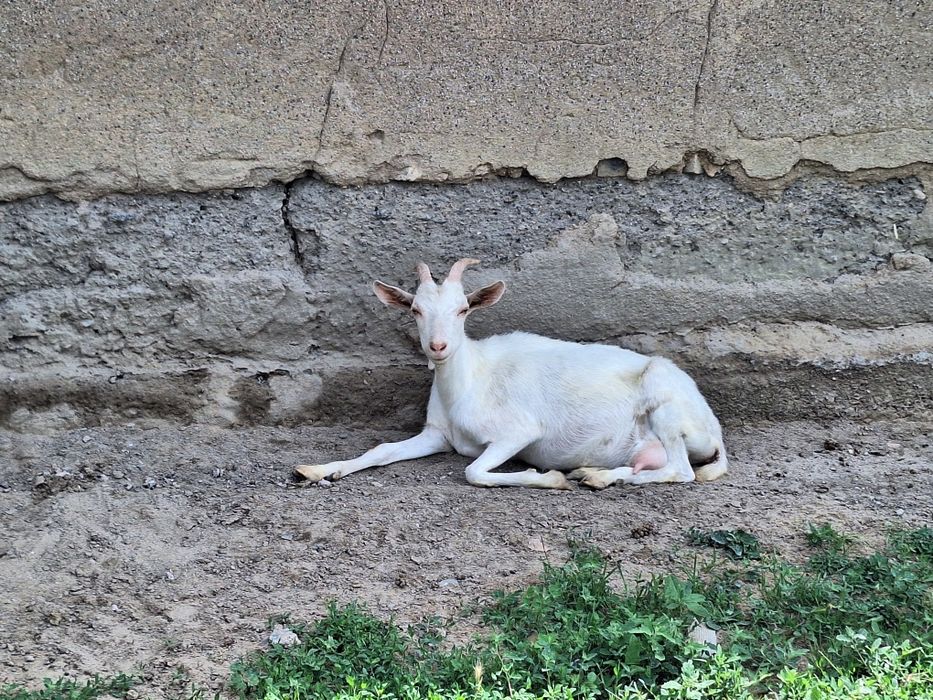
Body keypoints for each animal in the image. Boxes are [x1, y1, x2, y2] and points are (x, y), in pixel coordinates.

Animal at [294, 258, 728, 490]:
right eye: (415, 309)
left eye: (463, 309)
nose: (438, 346)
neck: (470, 381)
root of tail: (714, 428)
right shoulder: (438, 435)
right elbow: (382, 450)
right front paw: (314, 469)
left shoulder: (518, 432)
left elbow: (473, 471)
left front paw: (550, 477)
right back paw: (594, 474)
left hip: (666, 402)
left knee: (682, 471)